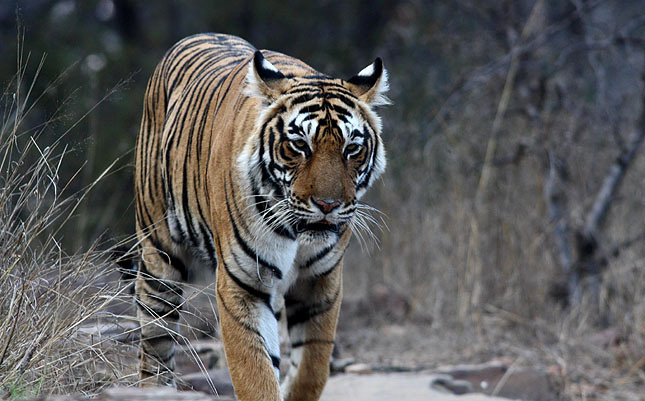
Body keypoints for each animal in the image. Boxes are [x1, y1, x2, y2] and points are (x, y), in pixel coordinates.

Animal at [132, 32, 388, 398]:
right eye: (300, 145)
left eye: (352, 148)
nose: (328, 205)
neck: (296, 235)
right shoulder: (243, 284)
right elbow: (254, 373)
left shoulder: (321, 282)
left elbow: (312, 368)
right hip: (158, 253)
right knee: (156, 340)